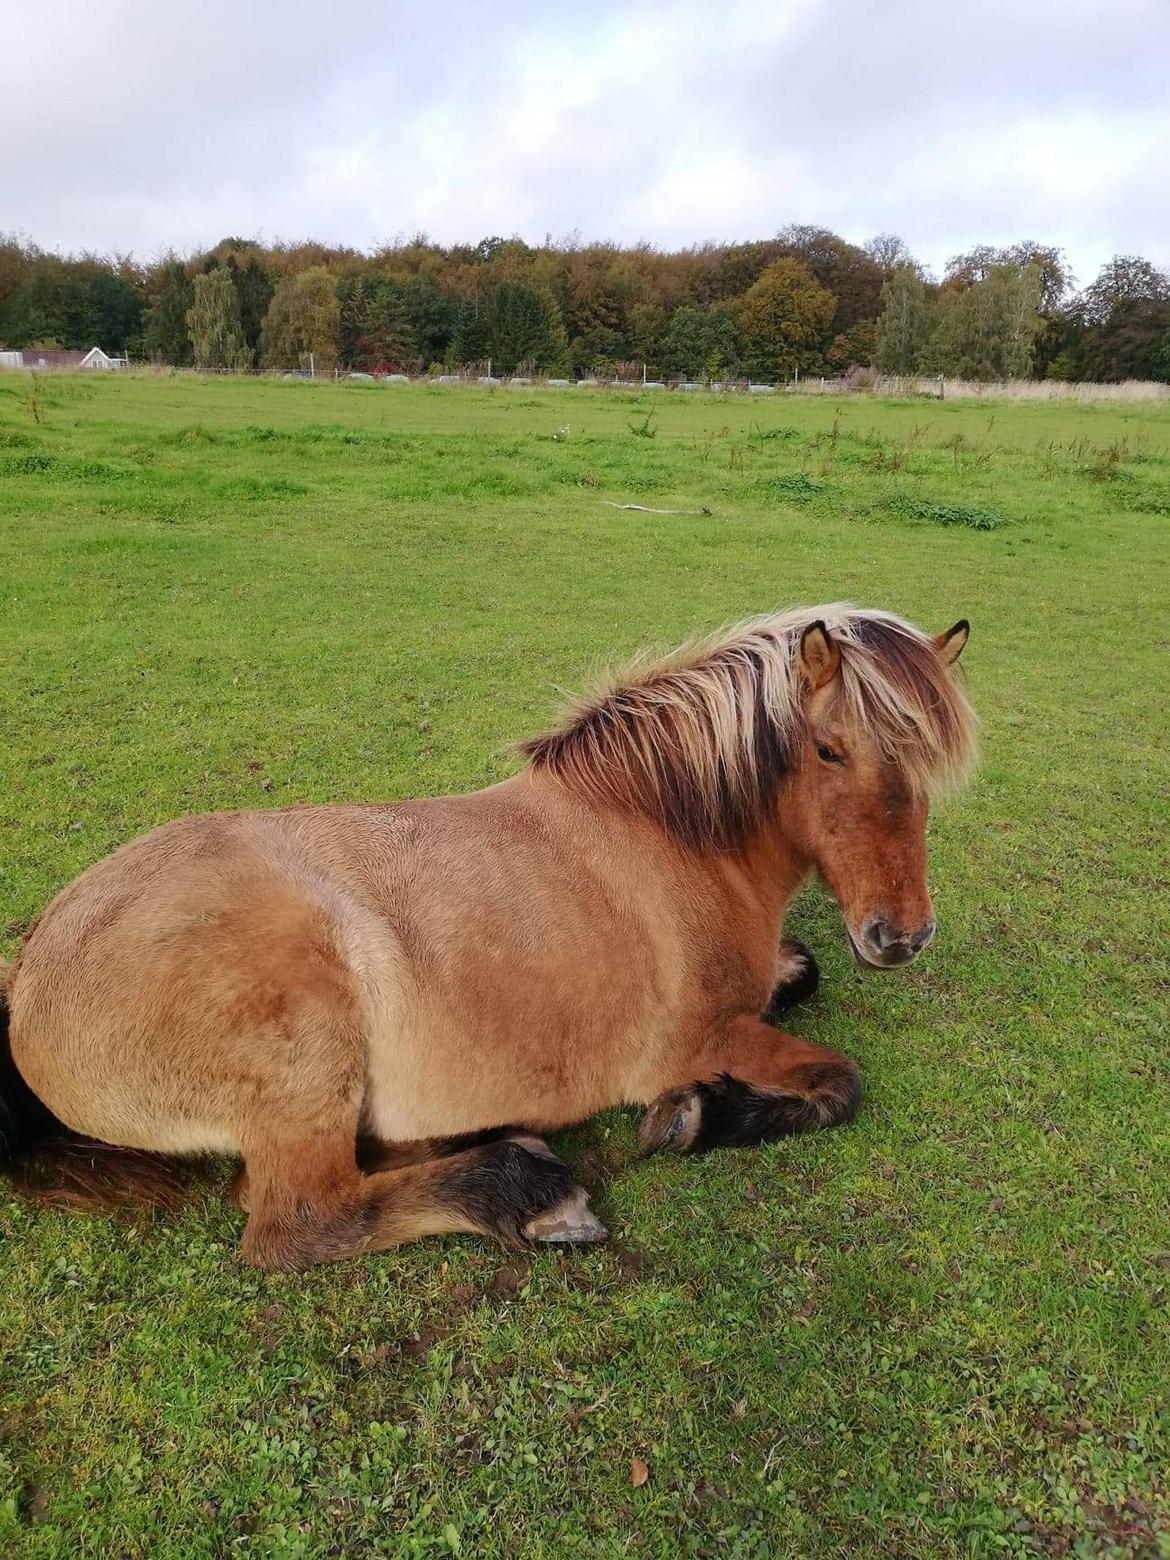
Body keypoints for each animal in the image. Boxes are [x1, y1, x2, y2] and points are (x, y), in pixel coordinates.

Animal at [0, 602, 973, 1272]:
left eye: (928, 763)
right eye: (830, 751)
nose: (902, 936)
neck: (669, 834)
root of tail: (31, 977)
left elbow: (801, 971)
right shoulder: (701, 1038)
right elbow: (840, 1083)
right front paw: (693, 1117)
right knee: (300, 1220)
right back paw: (527, 1192)